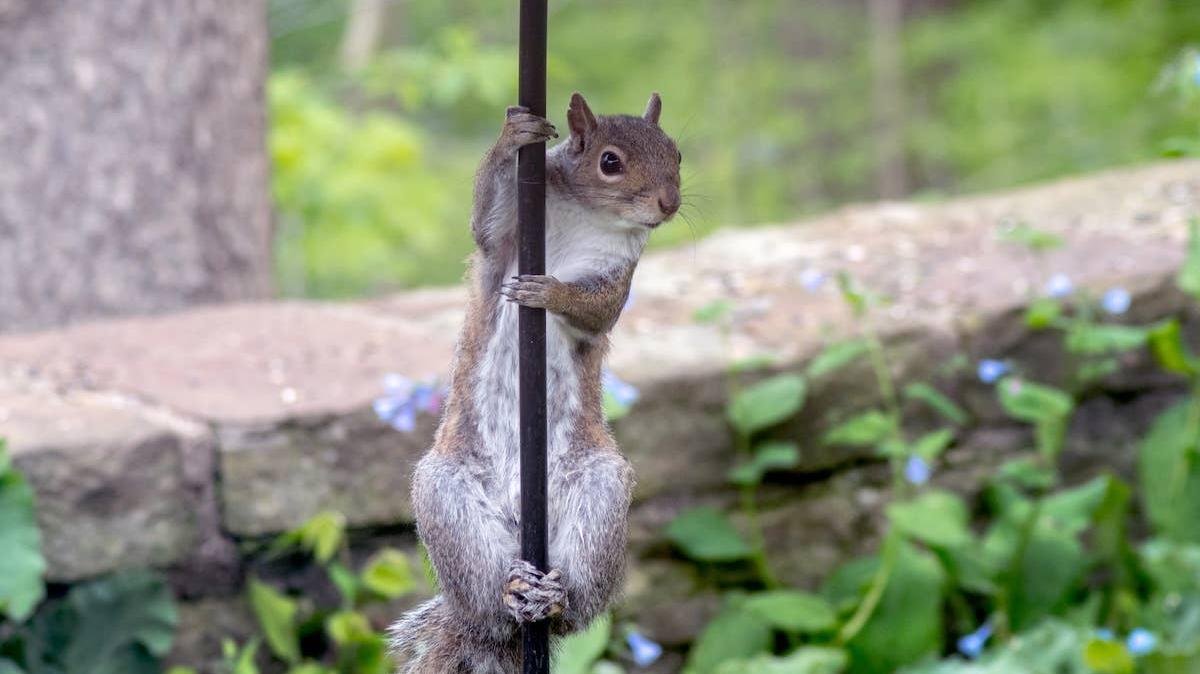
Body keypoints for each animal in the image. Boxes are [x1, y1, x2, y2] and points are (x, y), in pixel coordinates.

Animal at [388, 92, 681, 673]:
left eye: (676, 153)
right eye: (610, 162)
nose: (669, 203)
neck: (591, 215)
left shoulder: (619, 273)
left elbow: (596, 309)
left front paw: (551, 293)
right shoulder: (504, 240)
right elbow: (484, 221)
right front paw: (514, 135)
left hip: (600, 498)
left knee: (576, 606)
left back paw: (557, 598)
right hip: (446, 501)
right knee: (486, 594)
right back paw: (509, 593)